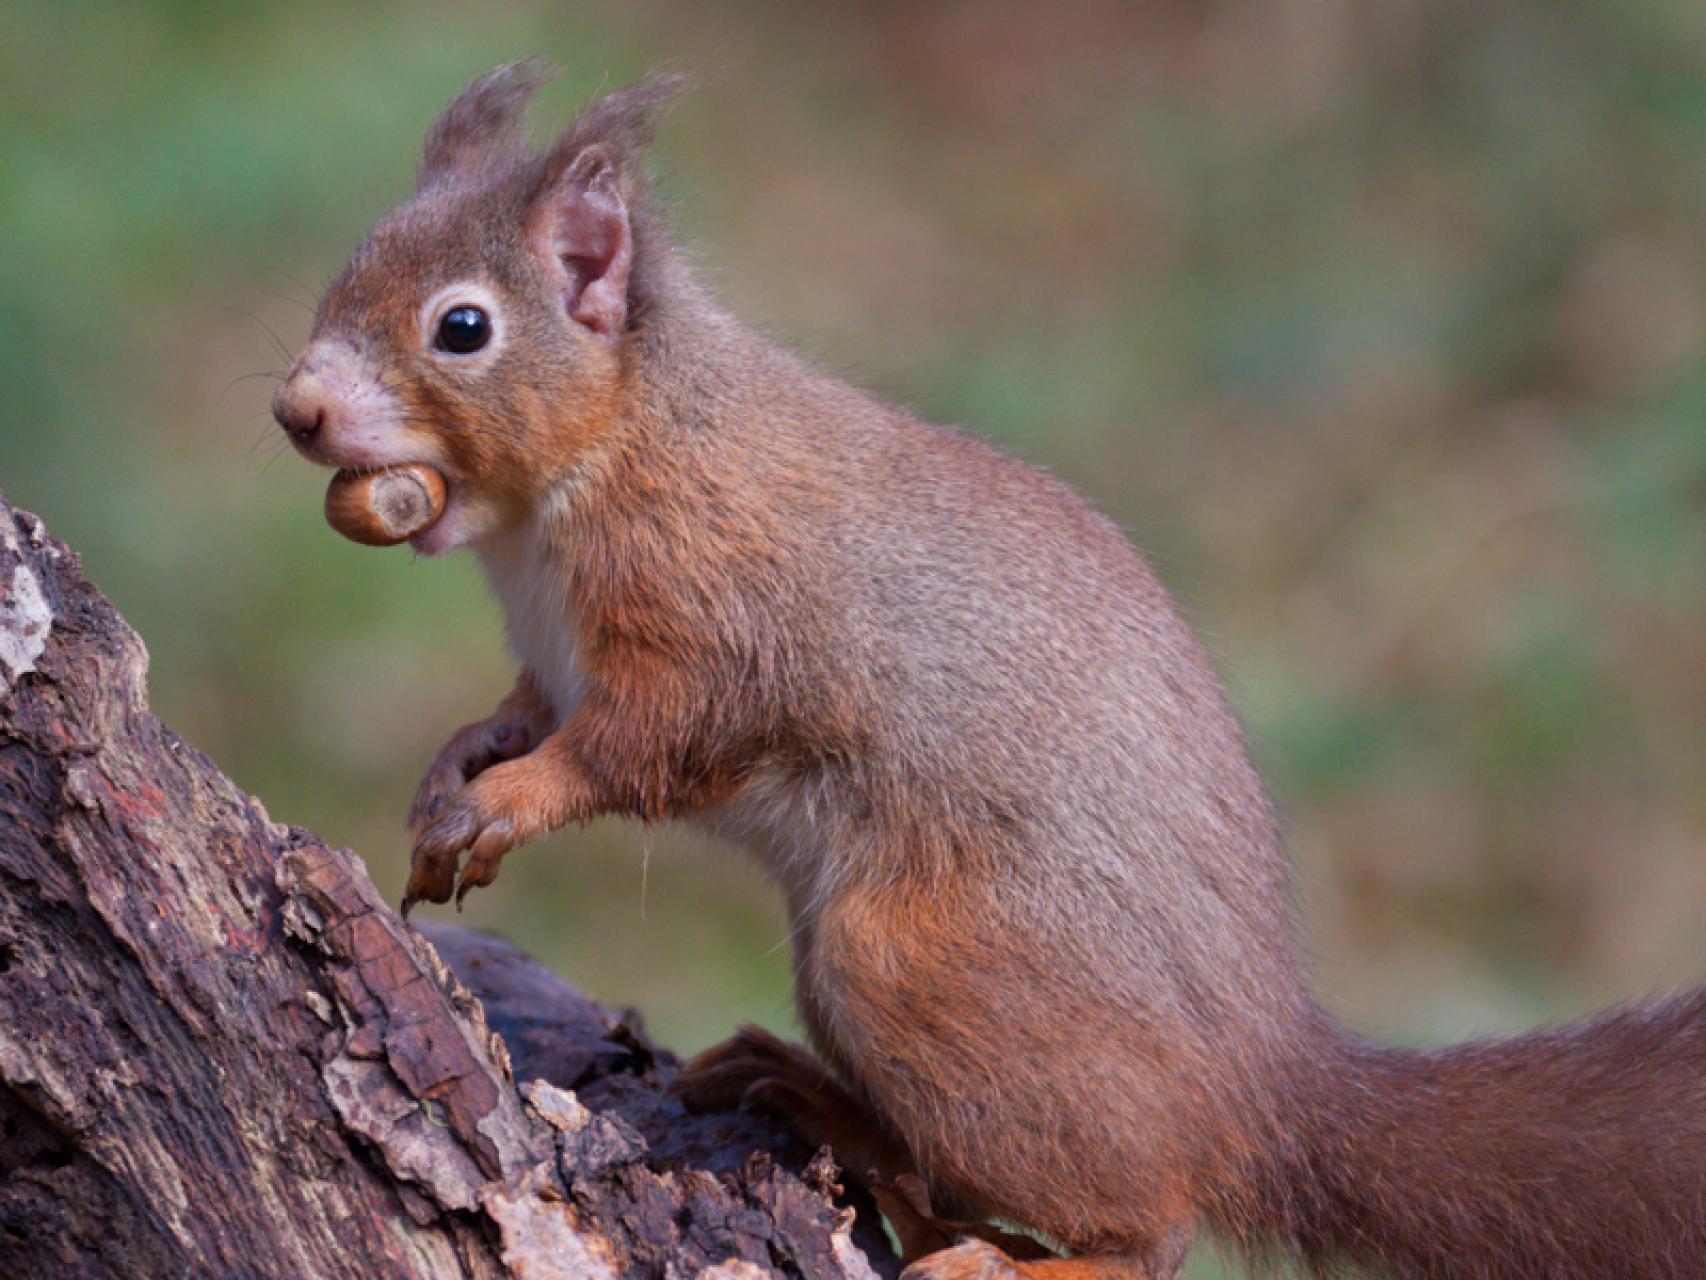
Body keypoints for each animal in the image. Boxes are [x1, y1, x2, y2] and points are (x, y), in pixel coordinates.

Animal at [272, 64, 1706, 1280]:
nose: (297, 410)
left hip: (916, 965)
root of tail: (1258, 1087)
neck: (587, 469)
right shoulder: (551, 662)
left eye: (463, 327)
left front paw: (504, 803)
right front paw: (454, 768)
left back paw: (1002, 1245)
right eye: (343, 271)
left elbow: (641, 743)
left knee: (1149, 1230)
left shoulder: (711, 611)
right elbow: (521, 714)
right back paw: (822, 1108)